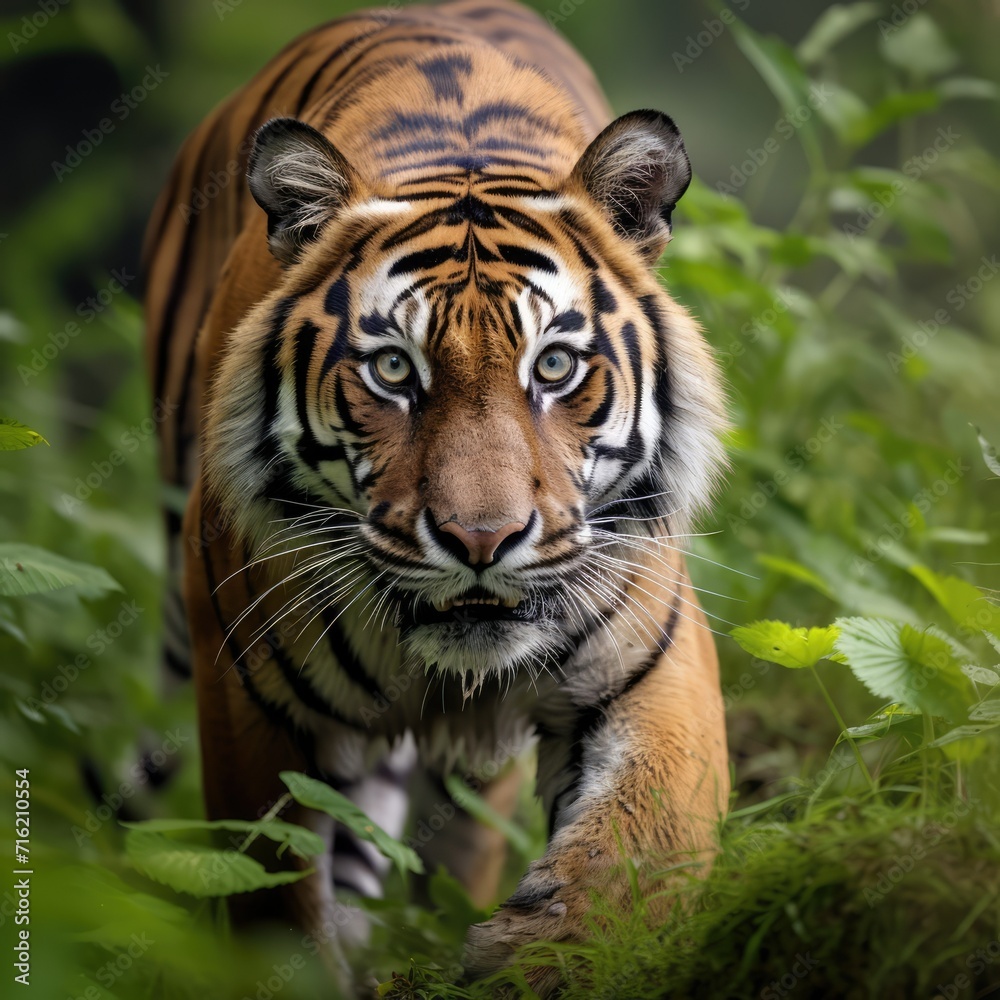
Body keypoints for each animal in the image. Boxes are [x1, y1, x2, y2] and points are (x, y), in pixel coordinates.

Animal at [143, 0, 730, 993]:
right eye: (392, 371)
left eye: (555, 366)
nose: (481, 541)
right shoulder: (247, 698)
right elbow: (271, 895)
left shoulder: (651, 664)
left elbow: (638, 851)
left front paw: (539, 956)